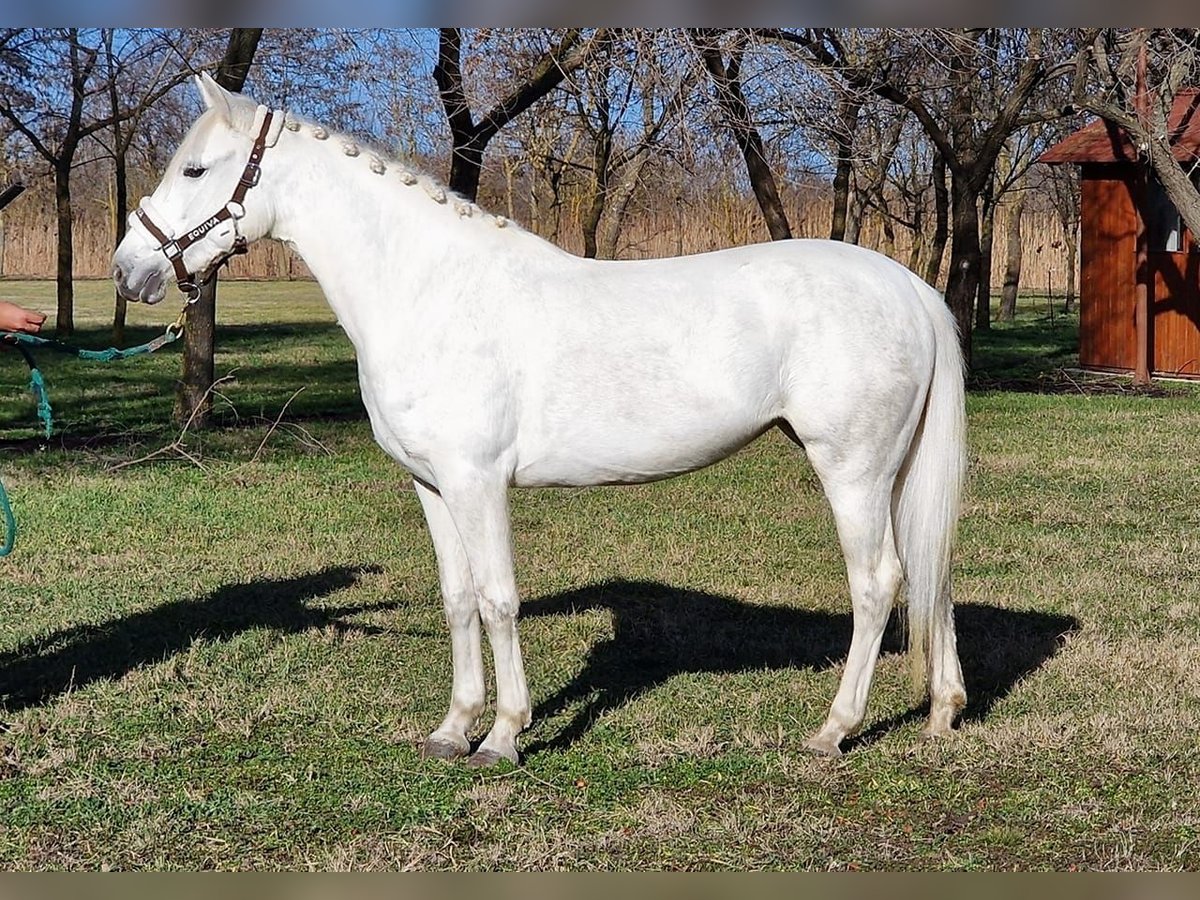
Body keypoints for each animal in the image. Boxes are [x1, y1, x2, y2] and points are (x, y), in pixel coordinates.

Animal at [112, 75, 969, 768]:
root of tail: (909, 289)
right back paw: (942, 713)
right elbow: (457, 598)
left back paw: (833, 730)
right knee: (930, 573)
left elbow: (498, 598)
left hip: (851, 470)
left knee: (878, 582)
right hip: (891, 474)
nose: (129, 270)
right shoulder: (432, 486)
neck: (432, 290)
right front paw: (452, 730)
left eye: (195, 169)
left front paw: (502, 736)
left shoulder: (477, 481)